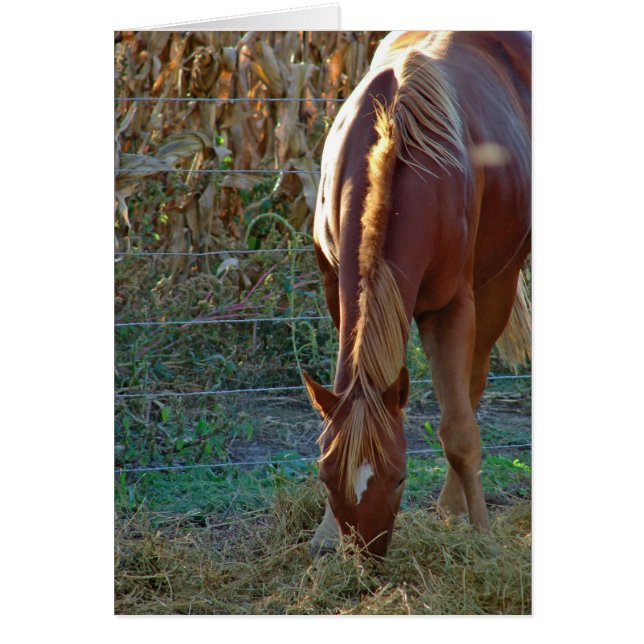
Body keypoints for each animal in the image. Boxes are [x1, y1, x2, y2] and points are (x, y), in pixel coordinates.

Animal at [303, 31, 531, 558]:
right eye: (326, 479)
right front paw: (324, 534)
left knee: (470, 390)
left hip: (499, 281)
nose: (366, 557)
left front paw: (482, 536)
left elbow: (459, 429)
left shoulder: (450, 308)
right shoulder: (334, 288)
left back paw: (453, 509)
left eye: (401, 479)